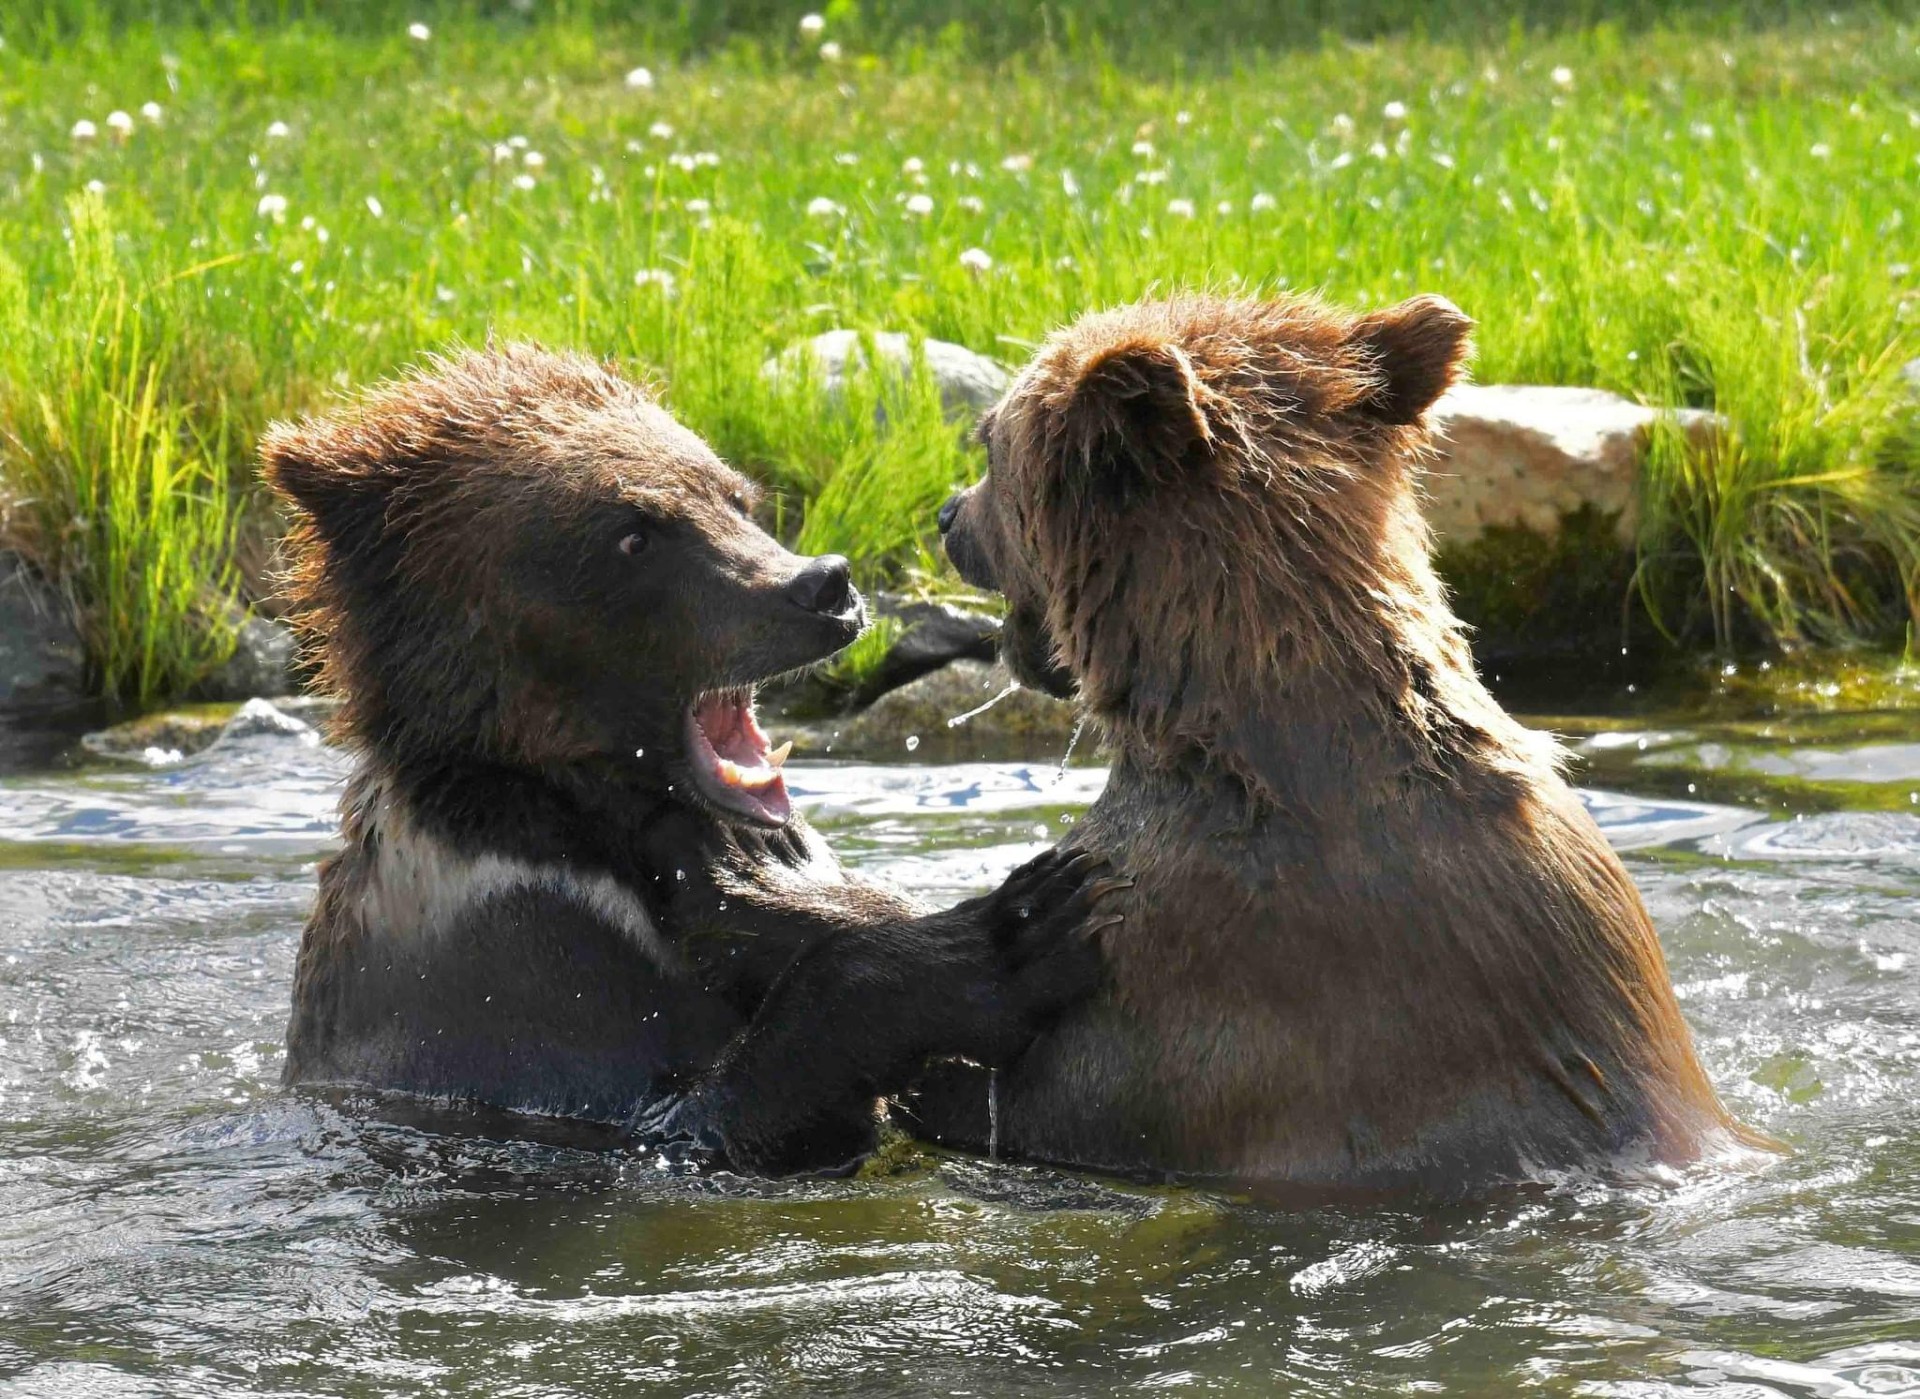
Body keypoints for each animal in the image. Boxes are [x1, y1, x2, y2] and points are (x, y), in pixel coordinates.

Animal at [263, 343, 1121, 1174]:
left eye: (733, 495)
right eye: (634, 533)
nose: (823, 583)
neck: (587, 811)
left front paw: (779, 868)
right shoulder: (512, 969)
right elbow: (700, 1115)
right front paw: (1007, 931)